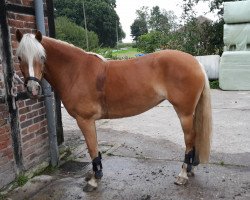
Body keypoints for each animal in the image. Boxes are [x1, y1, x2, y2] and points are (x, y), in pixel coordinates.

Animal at [15, 29, 211, 191]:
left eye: (42, 57)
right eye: (19, 58)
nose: (33, 90)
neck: (75, 70)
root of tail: (196, 63)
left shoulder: (84, 120)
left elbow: (92, 149)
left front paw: (94, 181)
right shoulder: (89, 121)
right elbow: (95, 148)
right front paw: (95, 175)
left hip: (184, 113)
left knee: (189, 139)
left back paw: (183, 175)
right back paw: (190, 169)